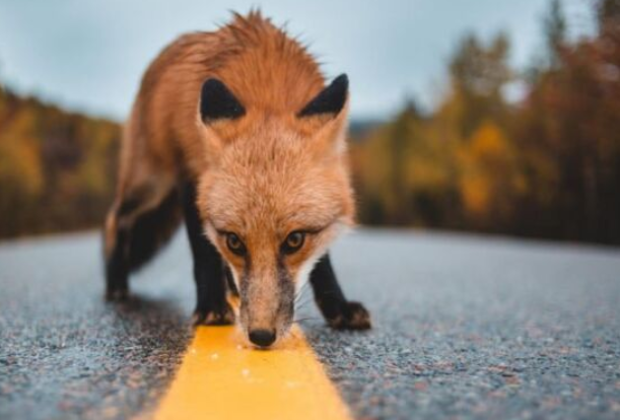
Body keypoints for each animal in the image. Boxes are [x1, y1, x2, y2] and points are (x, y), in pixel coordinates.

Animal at [103, 10, 370, 348]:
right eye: (235, 241)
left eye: (295, 240)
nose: (261, 336)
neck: (267, 87)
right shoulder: (191, 177)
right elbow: (203, 252)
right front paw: (211, 307)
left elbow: (322, 262)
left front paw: (337, 307)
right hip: (151, 184)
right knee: (116, 218)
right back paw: (116, 283)